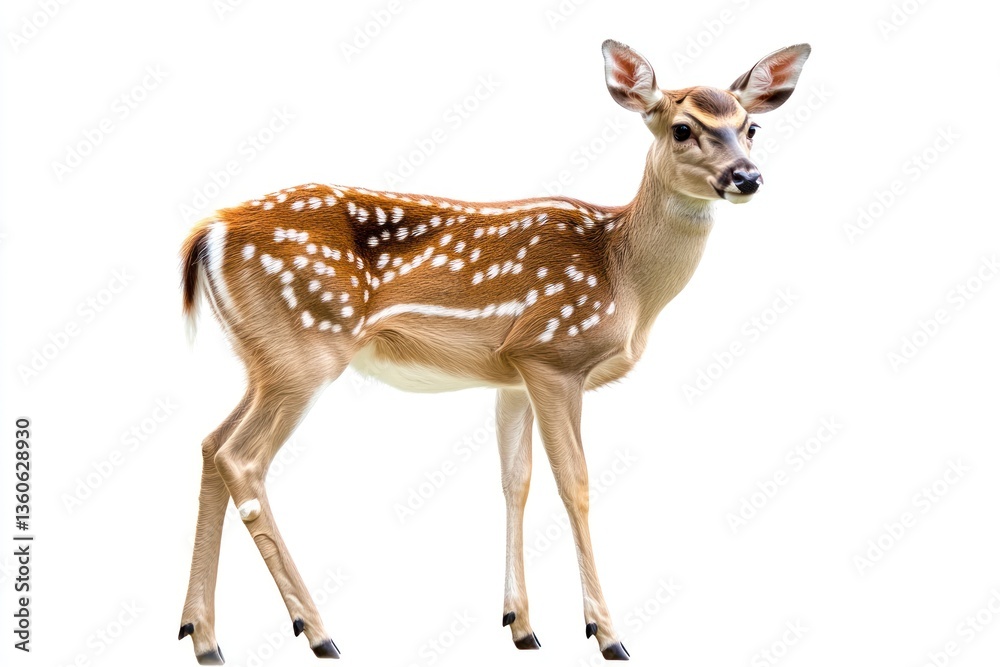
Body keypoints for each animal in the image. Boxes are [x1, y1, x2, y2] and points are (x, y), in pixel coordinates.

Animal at [177, 39, 811, 664]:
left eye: (751, 126)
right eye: (682, 128)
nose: (746, 177)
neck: (624, 276)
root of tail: (210, 231)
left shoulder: (512, 376)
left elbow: (516, 482)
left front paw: (521, 626)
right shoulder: (553, 355)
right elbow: (575, 483)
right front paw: (606, 633)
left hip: (265, 357)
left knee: (210, 444)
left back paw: (203, 636)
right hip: (307, 348)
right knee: (242, 458)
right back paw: (318, 632)